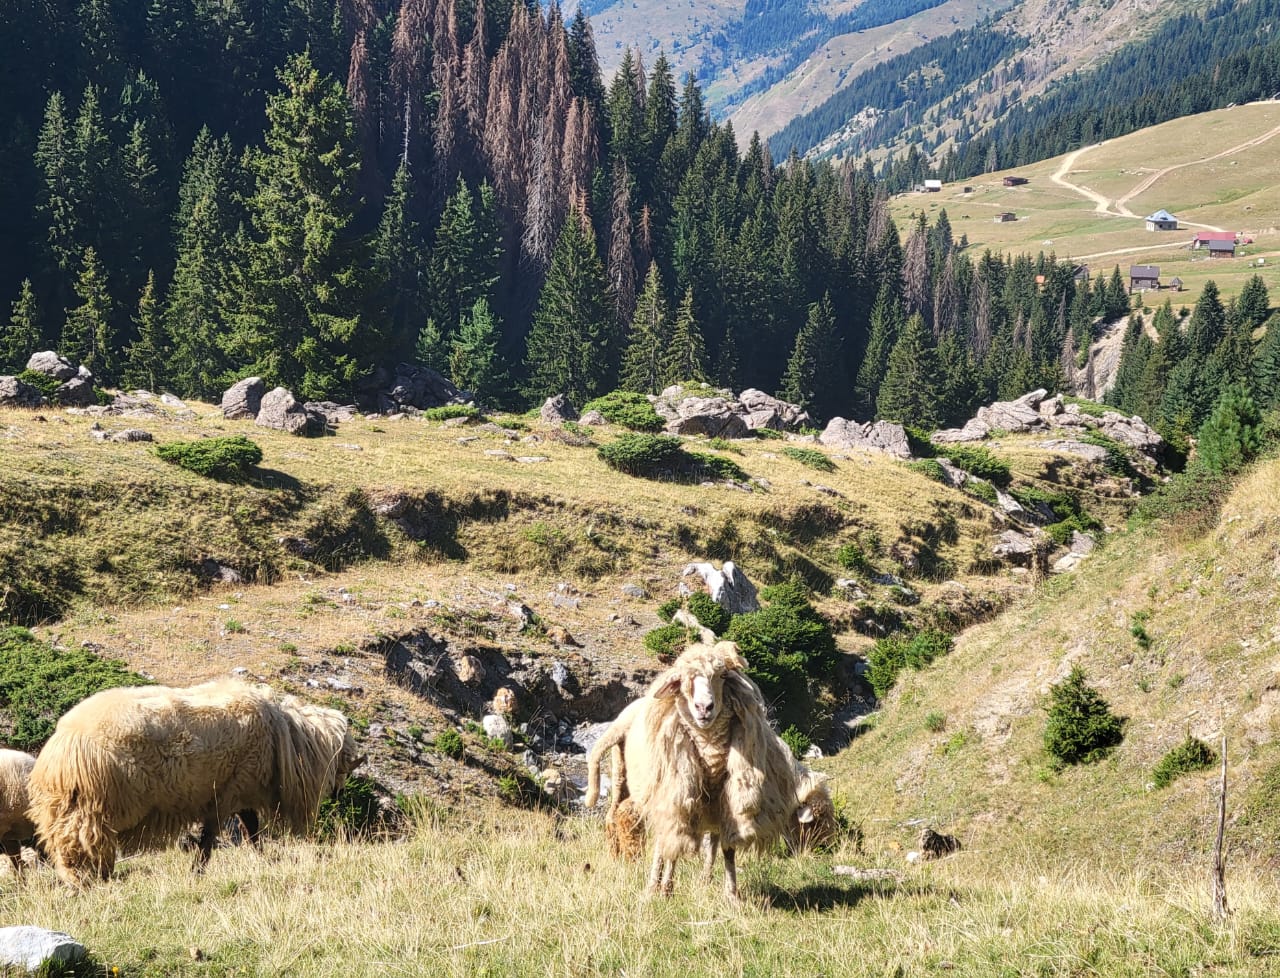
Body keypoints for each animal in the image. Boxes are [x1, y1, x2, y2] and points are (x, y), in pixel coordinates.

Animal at [27, 679, 363, 885]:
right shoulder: (229, 791)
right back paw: (85, 879)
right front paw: (198, 871)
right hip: (92, 806)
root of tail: (62, 745)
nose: (340, 791)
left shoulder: (231, 794)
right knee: (78, 840)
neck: (287, 735)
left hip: (67, 804)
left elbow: (246, 831)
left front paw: (262, 859)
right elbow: (222, 835)